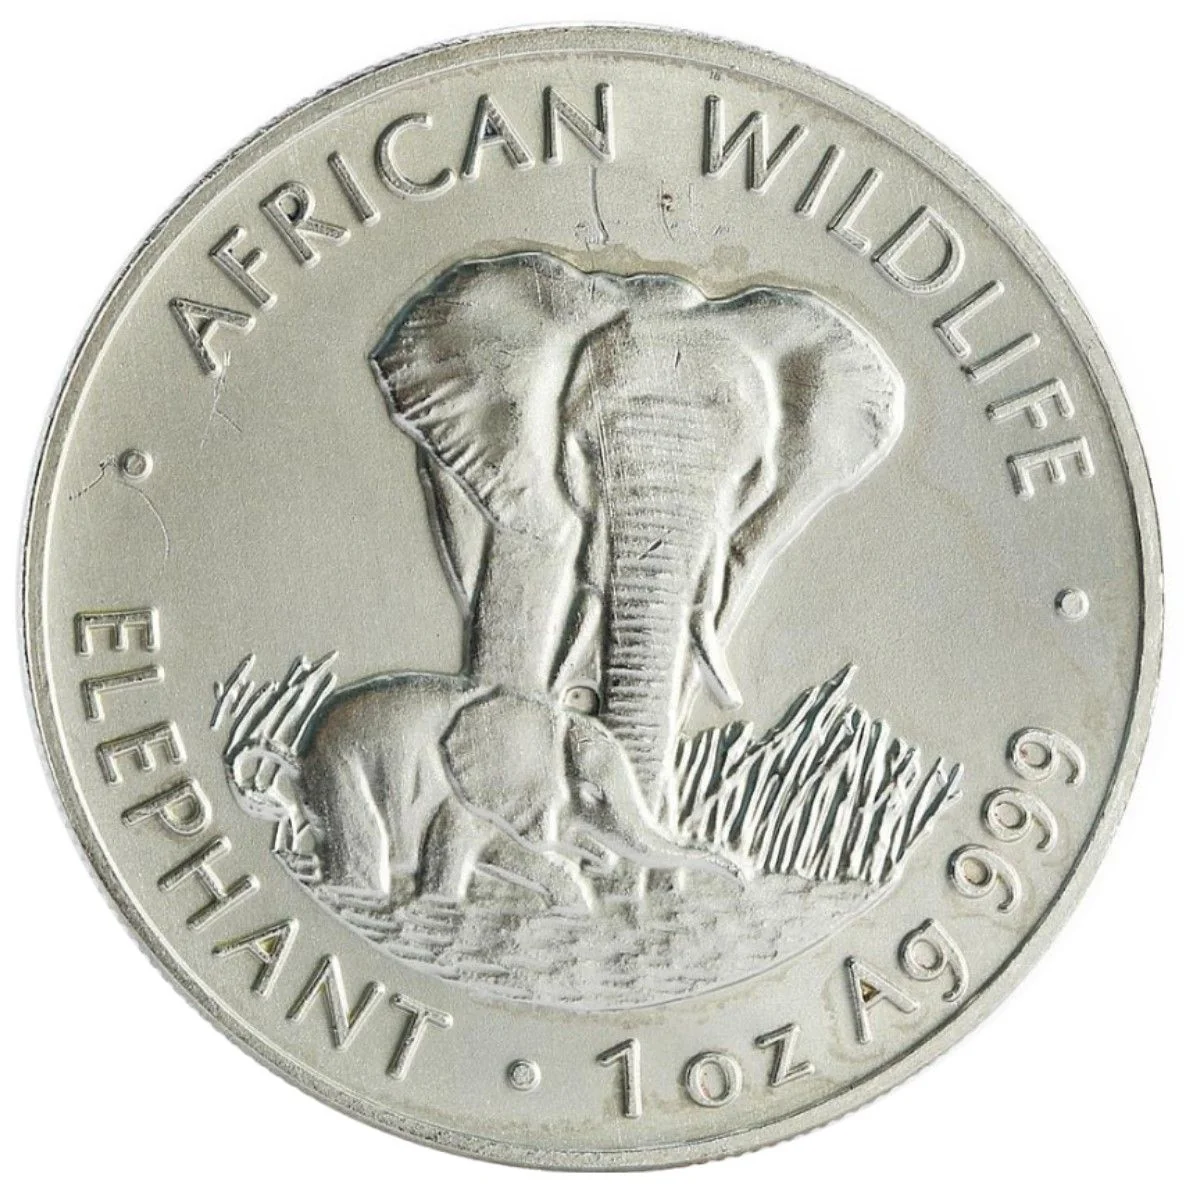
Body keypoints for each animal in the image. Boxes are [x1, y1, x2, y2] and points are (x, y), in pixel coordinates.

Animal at [294, 672, 739, 907]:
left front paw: (574, 906)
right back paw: (356, 895)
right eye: (592, 794)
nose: (738, 876)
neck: (552, 717)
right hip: (341, 766)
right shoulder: (466, 793)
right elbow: (471, 846)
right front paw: (441, 904)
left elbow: (510, 854)